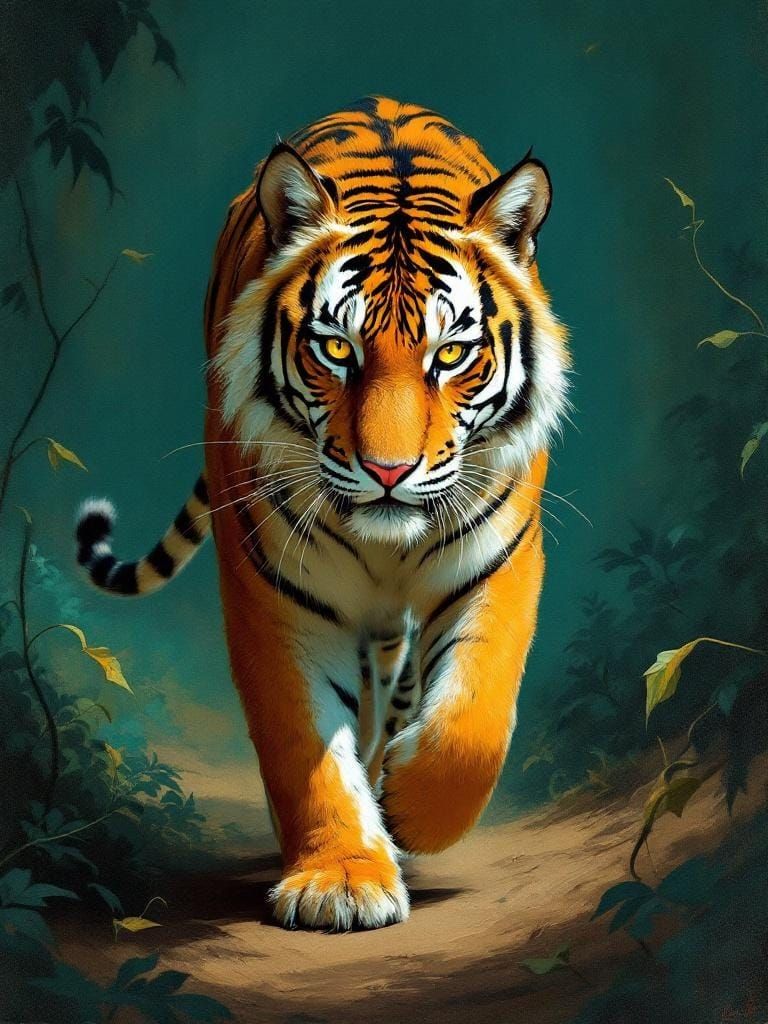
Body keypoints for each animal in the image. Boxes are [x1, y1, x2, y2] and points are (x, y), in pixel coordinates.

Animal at [75, 96, 569, 931]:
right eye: (337, 349)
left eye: (450, 355)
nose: (389, 471)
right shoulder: (274, 589)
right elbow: (302, 743)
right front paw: (339, 879)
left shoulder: (498, 560)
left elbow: (471, 725)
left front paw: (408, 808)